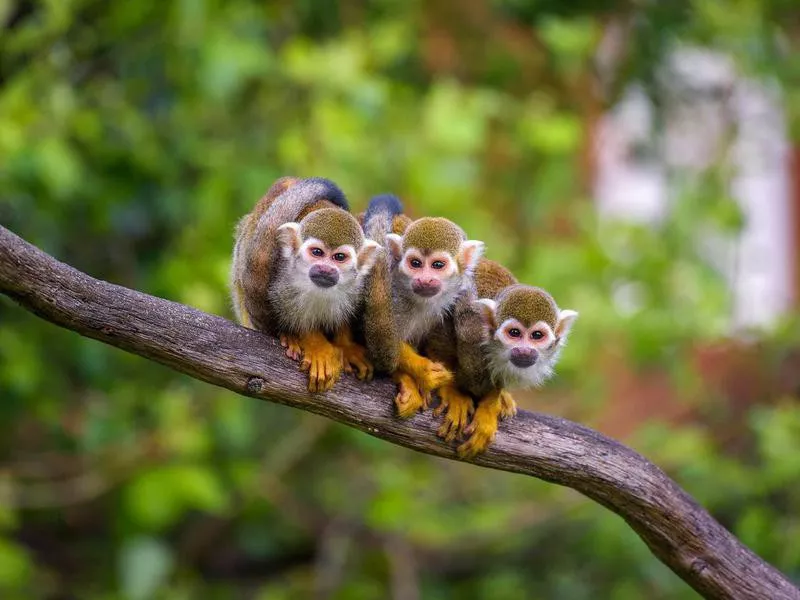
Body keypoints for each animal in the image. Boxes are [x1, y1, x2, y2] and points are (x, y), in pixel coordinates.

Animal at [231, 177, 382, 394]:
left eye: (339, 257)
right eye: (317, 252)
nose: (325, 269)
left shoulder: (360, 284)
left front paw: (345, 345)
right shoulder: (281, 278)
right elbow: (291, 315)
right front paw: (315, 344)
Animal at [428, 260, 580, 458]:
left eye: (537, 336)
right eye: (514, 333)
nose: (524, 350)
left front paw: (490, 405)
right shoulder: (473, 330)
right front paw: (453, 391)